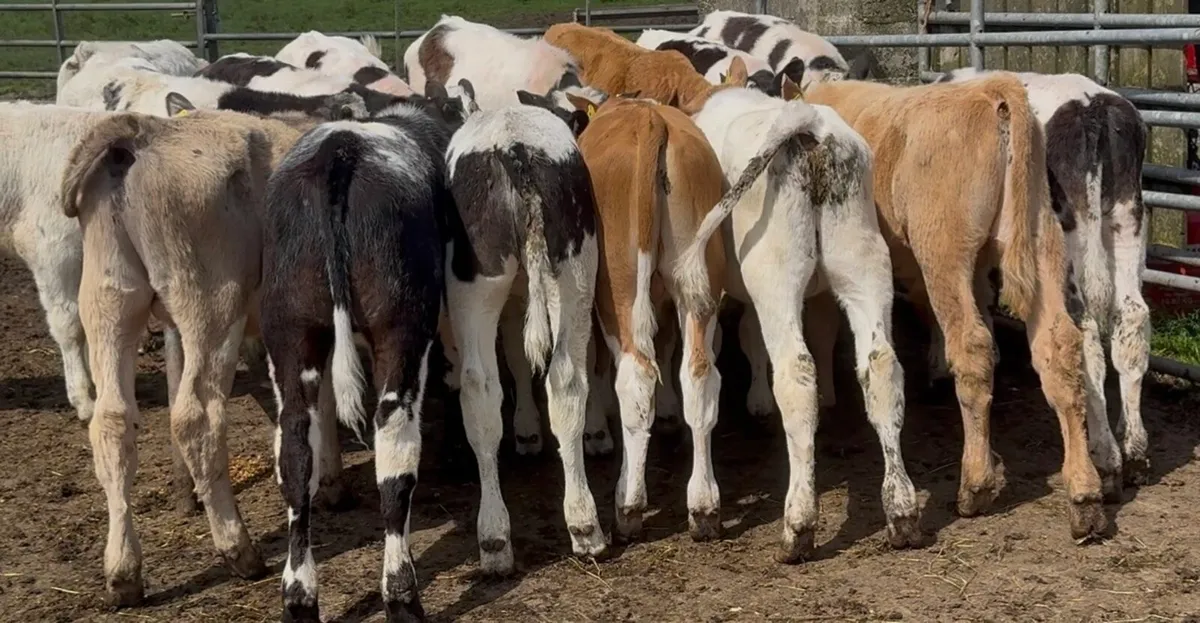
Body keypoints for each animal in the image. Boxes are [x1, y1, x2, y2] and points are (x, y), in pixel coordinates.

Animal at [57, 99, 320, 606]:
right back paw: (237, 547)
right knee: (197, 417)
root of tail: (145, 132)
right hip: (211, 302)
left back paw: (123, 571)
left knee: (112, 422)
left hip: (109, 300)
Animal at [804, 75, 1107, 541]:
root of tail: (992, 89)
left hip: (944, 247)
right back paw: (1084, 495)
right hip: (1040, 239)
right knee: (1058, 348)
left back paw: (975, 486)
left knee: (971, 345)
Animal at [937, 68, 1150, 495]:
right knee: (1131, 320)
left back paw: (1107, 457)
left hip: (1066, 234)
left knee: (1085, 335)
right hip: (1126, 217)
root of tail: (1091, 106)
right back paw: (1133, 449)